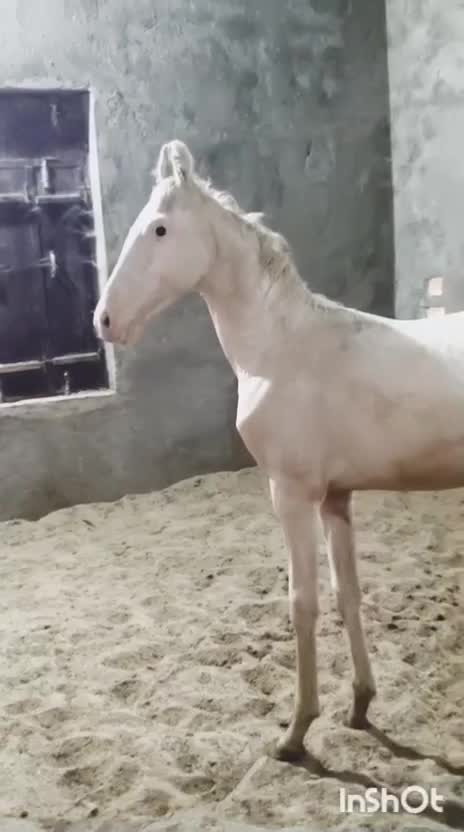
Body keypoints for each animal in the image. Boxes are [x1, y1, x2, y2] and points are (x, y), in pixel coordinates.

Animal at [94, 139, 464, 762]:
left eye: (161, 229)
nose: (104, 320)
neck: (280, 349)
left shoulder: (290, 495)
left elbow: (302, 603)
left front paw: (295, 733)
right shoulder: (336, 499)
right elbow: (346, 594)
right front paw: (360, 706)